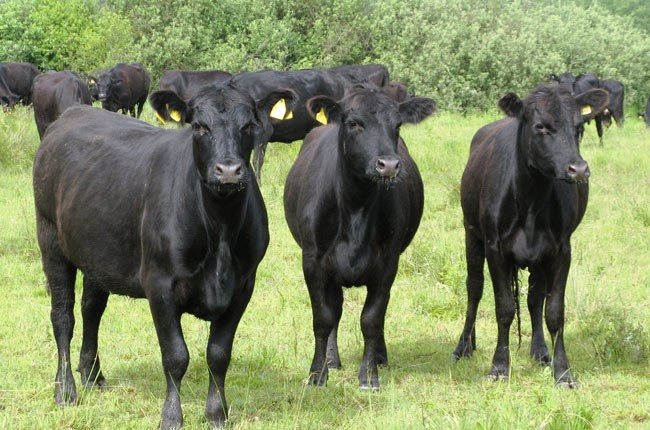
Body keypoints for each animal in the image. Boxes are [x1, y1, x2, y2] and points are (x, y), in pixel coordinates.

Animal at [33, 82, 295, 429]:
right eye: (199, 127)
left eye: (249, 125)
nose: (228, 171)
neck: (220, 228)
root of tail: (73, 112)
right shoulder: (160, 285)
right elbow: (175, 356)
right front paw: (171, 416)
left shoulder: (242, 286)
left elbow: (219, 354)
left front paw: (217, 413)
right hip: (50, 238)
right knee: (63, 316)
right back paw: (65, 390)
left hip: (96, 251)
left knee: (92, 309)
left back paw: (92, 375)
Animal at [283, 84, 436, 390]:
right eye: (354, 123)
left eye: (397, 125)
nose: (388, 165)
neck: (356, 204)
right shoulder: (313, 262)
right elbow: (323, 318)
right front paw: (317, 373)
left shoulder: (388, 263)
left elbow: (372, 319)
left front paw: (369, 376)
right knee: (335, 310)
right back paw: (332, 360)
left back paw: (380, 356)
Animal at [451, 84, 609, 388]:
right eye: (541, 127)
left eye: (579, 128)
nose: (579, 169)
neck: (531, 201)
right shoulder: (495, 248)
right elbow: (504, 308)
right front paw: (499, 367)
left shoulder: (561, 250)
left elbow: (554, 311)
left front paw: (563, 371)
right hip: (471, 232)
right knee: (474, 287)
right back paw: (464, 345)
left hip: (539, 258)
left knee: (535, 298)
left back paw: (539, 350)